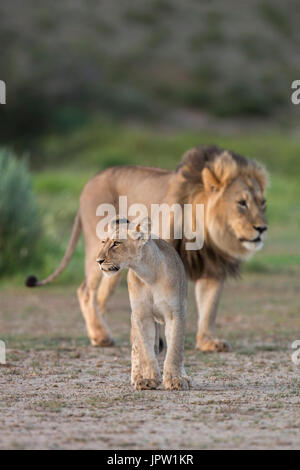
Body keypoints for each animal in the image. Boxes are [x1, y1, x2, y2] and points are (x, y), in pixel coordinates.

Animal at [27, 145, 268, 350]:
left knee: (100, 297)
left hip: (113, 265)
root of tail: (90, 182)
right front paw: (156, 342)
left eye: (262, 203)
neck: (206, 233)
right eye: (242, 203)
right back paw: (101, 335)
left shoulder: (213, 267)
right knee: (86, 291)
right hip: (100, 250)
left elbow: (209, 307)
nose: (262, 228)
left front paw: (208, 342)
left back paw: (99, 334)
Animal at [96, 218, 191, 392]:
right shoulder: (141, 315)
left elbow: (175, 349)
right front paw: (148, 379)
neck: (148, 275)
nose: (98, 261)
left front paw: (175, 379)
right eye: (103, 242)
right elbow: (145, 351)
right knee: (136, 350)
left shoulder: (176, 313)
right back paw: (137, 377)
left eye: (116, 243)